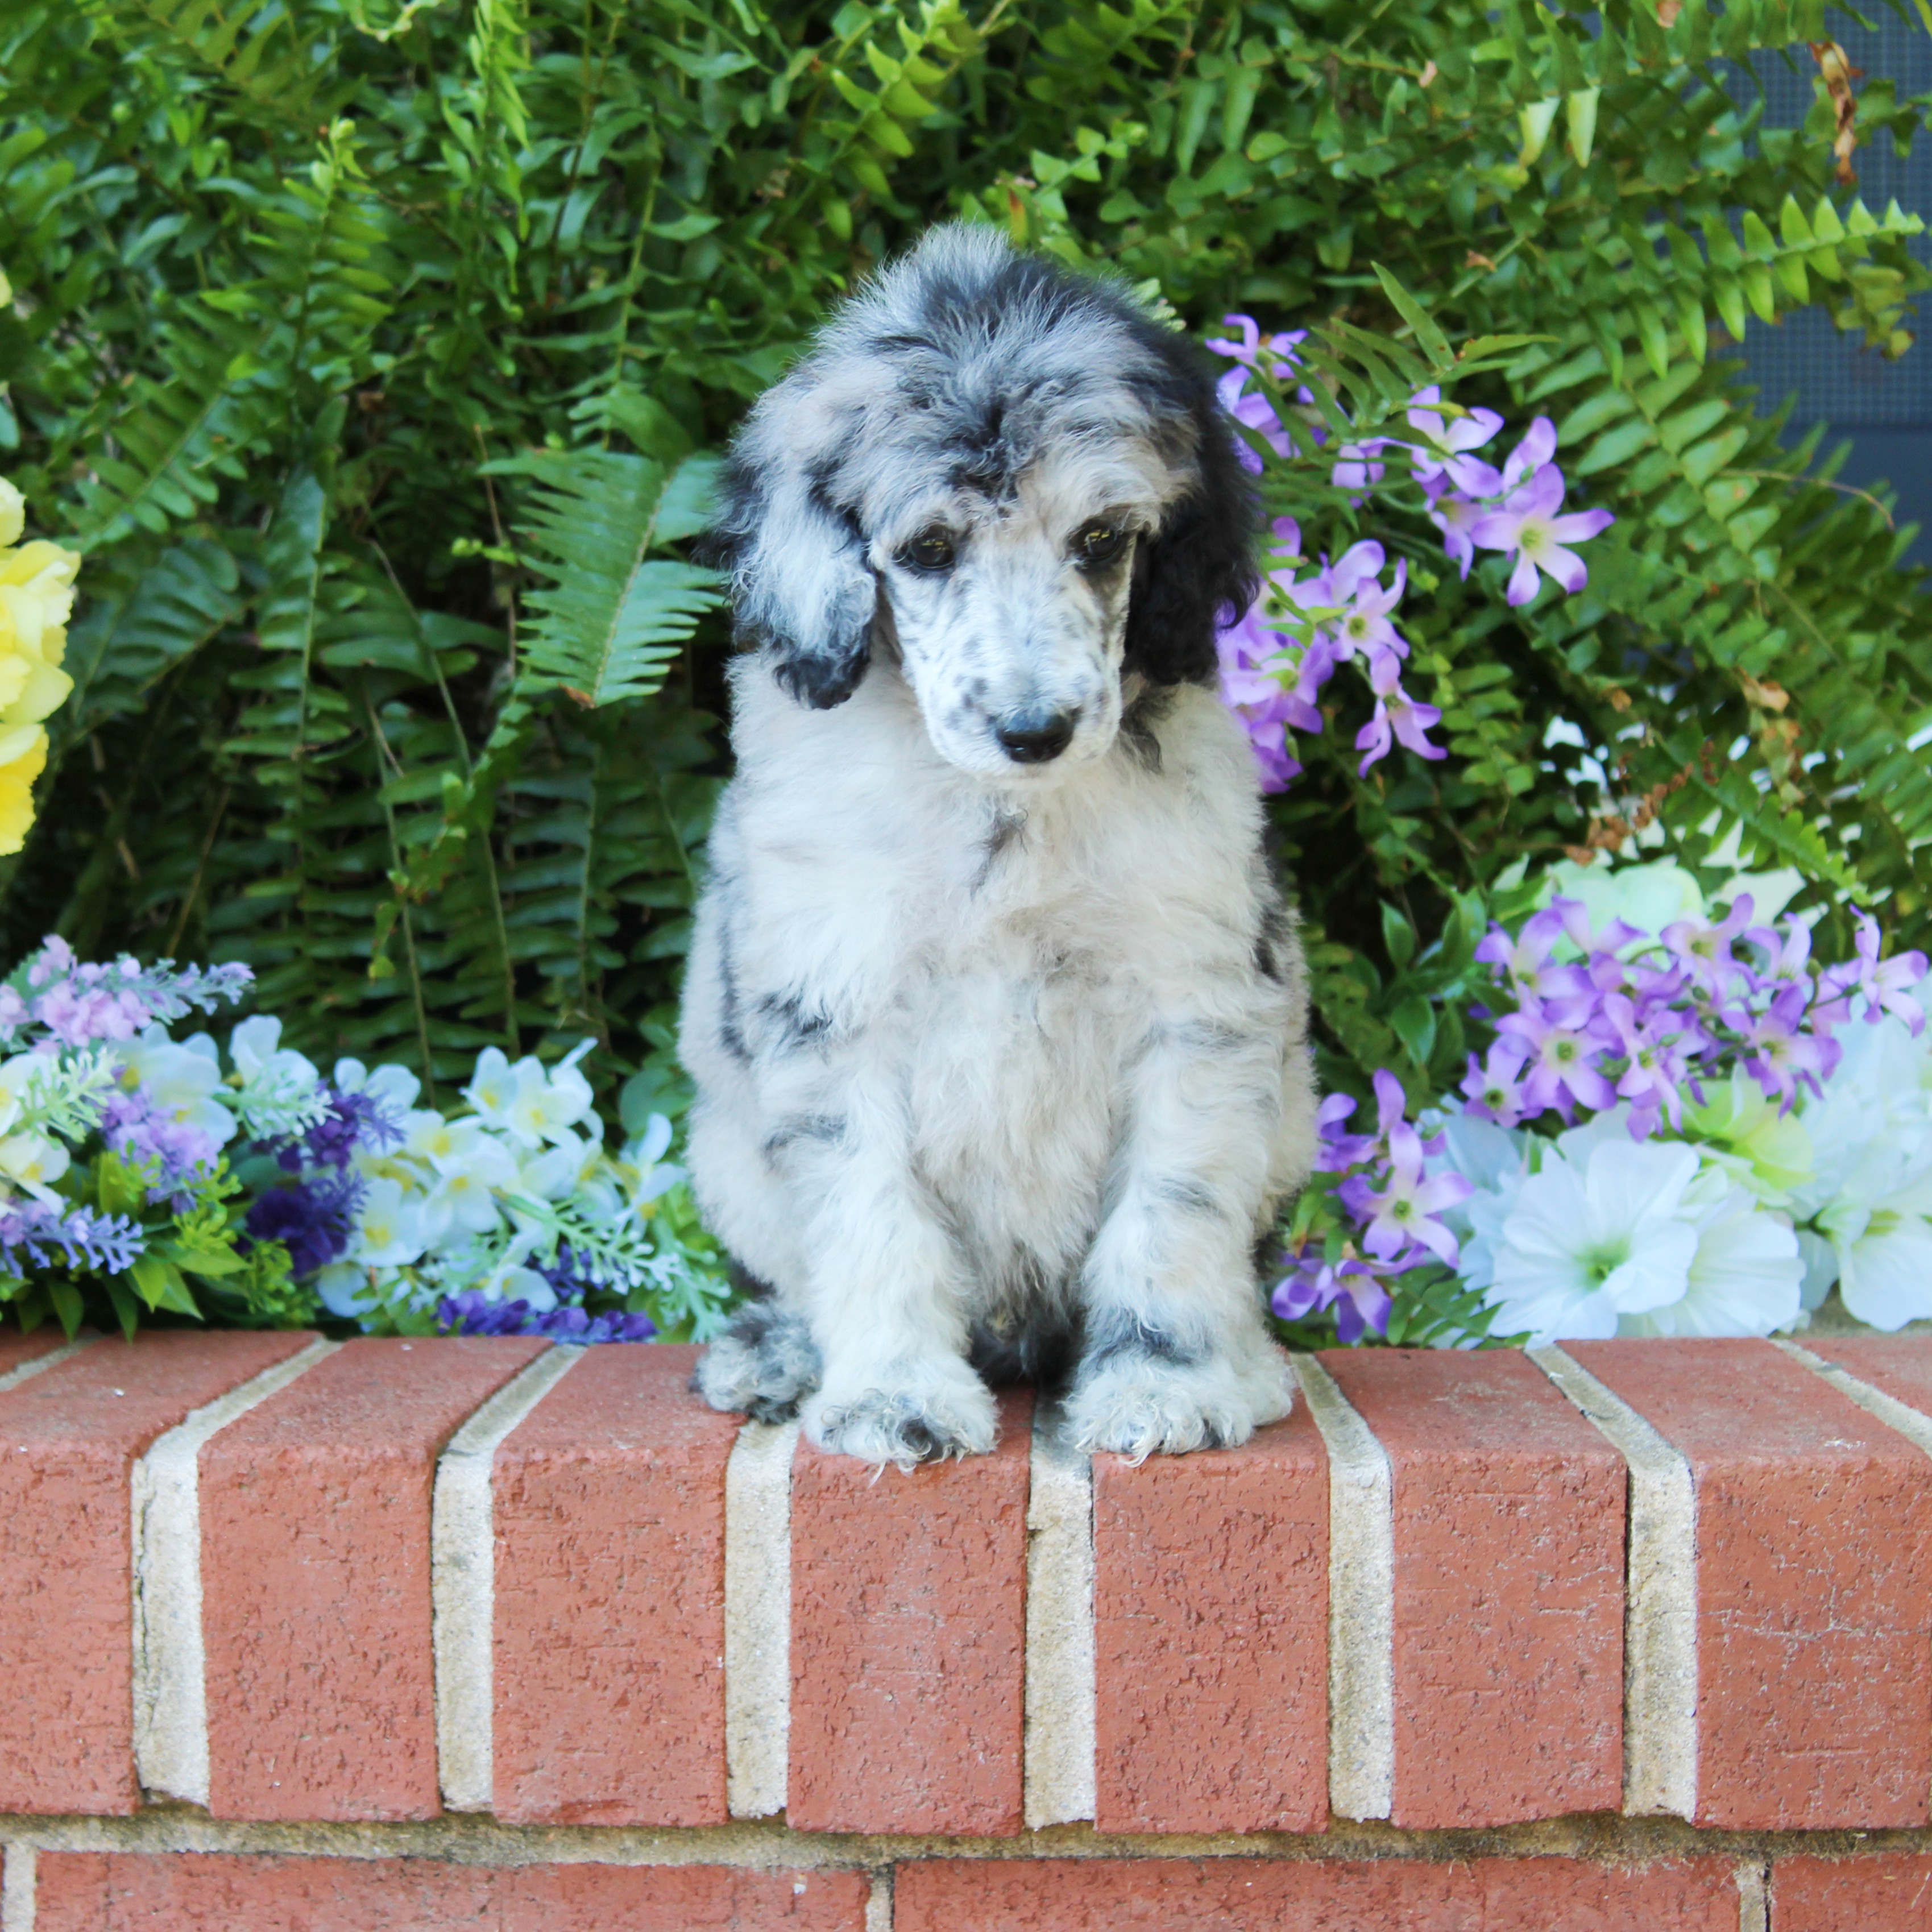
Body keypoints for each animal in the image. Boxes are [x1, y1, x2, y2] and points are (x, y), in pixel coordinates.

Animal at [680, 222, 1313, 1460]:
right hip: (726, 1154)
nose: (1035, 729)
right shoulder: (834, 1002)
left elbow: (1170, 1211)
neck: (1003, 816)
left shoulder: (1198, 1000)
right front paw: (894, 1392)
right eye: (926, 548)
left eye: (1103, 539)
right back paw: (778, 1355)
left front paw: (1163, 1383)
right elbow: (871, 1217)